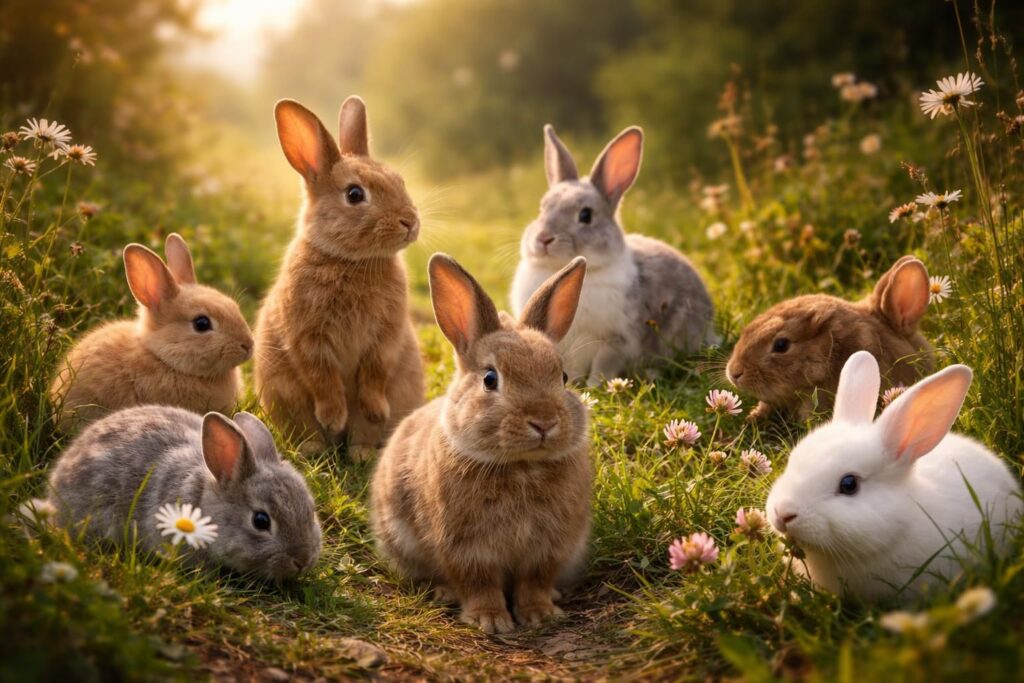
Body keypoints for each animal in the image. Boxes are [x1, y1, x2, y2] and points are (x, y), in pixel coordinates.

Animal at [254, 96, 424, 458]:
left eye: (400, 181)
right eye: (355, 195)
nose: (410, 222)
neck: (351, 261)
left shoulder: (385, 336)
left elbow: (374, 373)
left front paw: (376, 409)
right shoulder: (308, 335)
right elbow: (322, 378)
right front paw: (333, 418)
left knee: (364, 431)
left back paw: (361, 452)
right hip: (286, 394)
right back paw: (316, 447)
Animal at [370, 254, 593, 634]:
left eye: (562, 377)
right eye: (490, 379)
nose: (544, 422)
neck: (521, 467)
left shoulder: (549, 548)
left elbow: (535, 581)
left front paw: (540, 614)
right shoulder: (465, 547)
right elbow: (478, 582)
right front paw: (489, 620)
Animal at [510, 124, 716, 385]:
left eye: (586, 215)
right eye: (542, 208)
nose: (544, 238)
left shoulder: (614, 342)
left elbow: (602, 367)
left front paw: (593, 387)